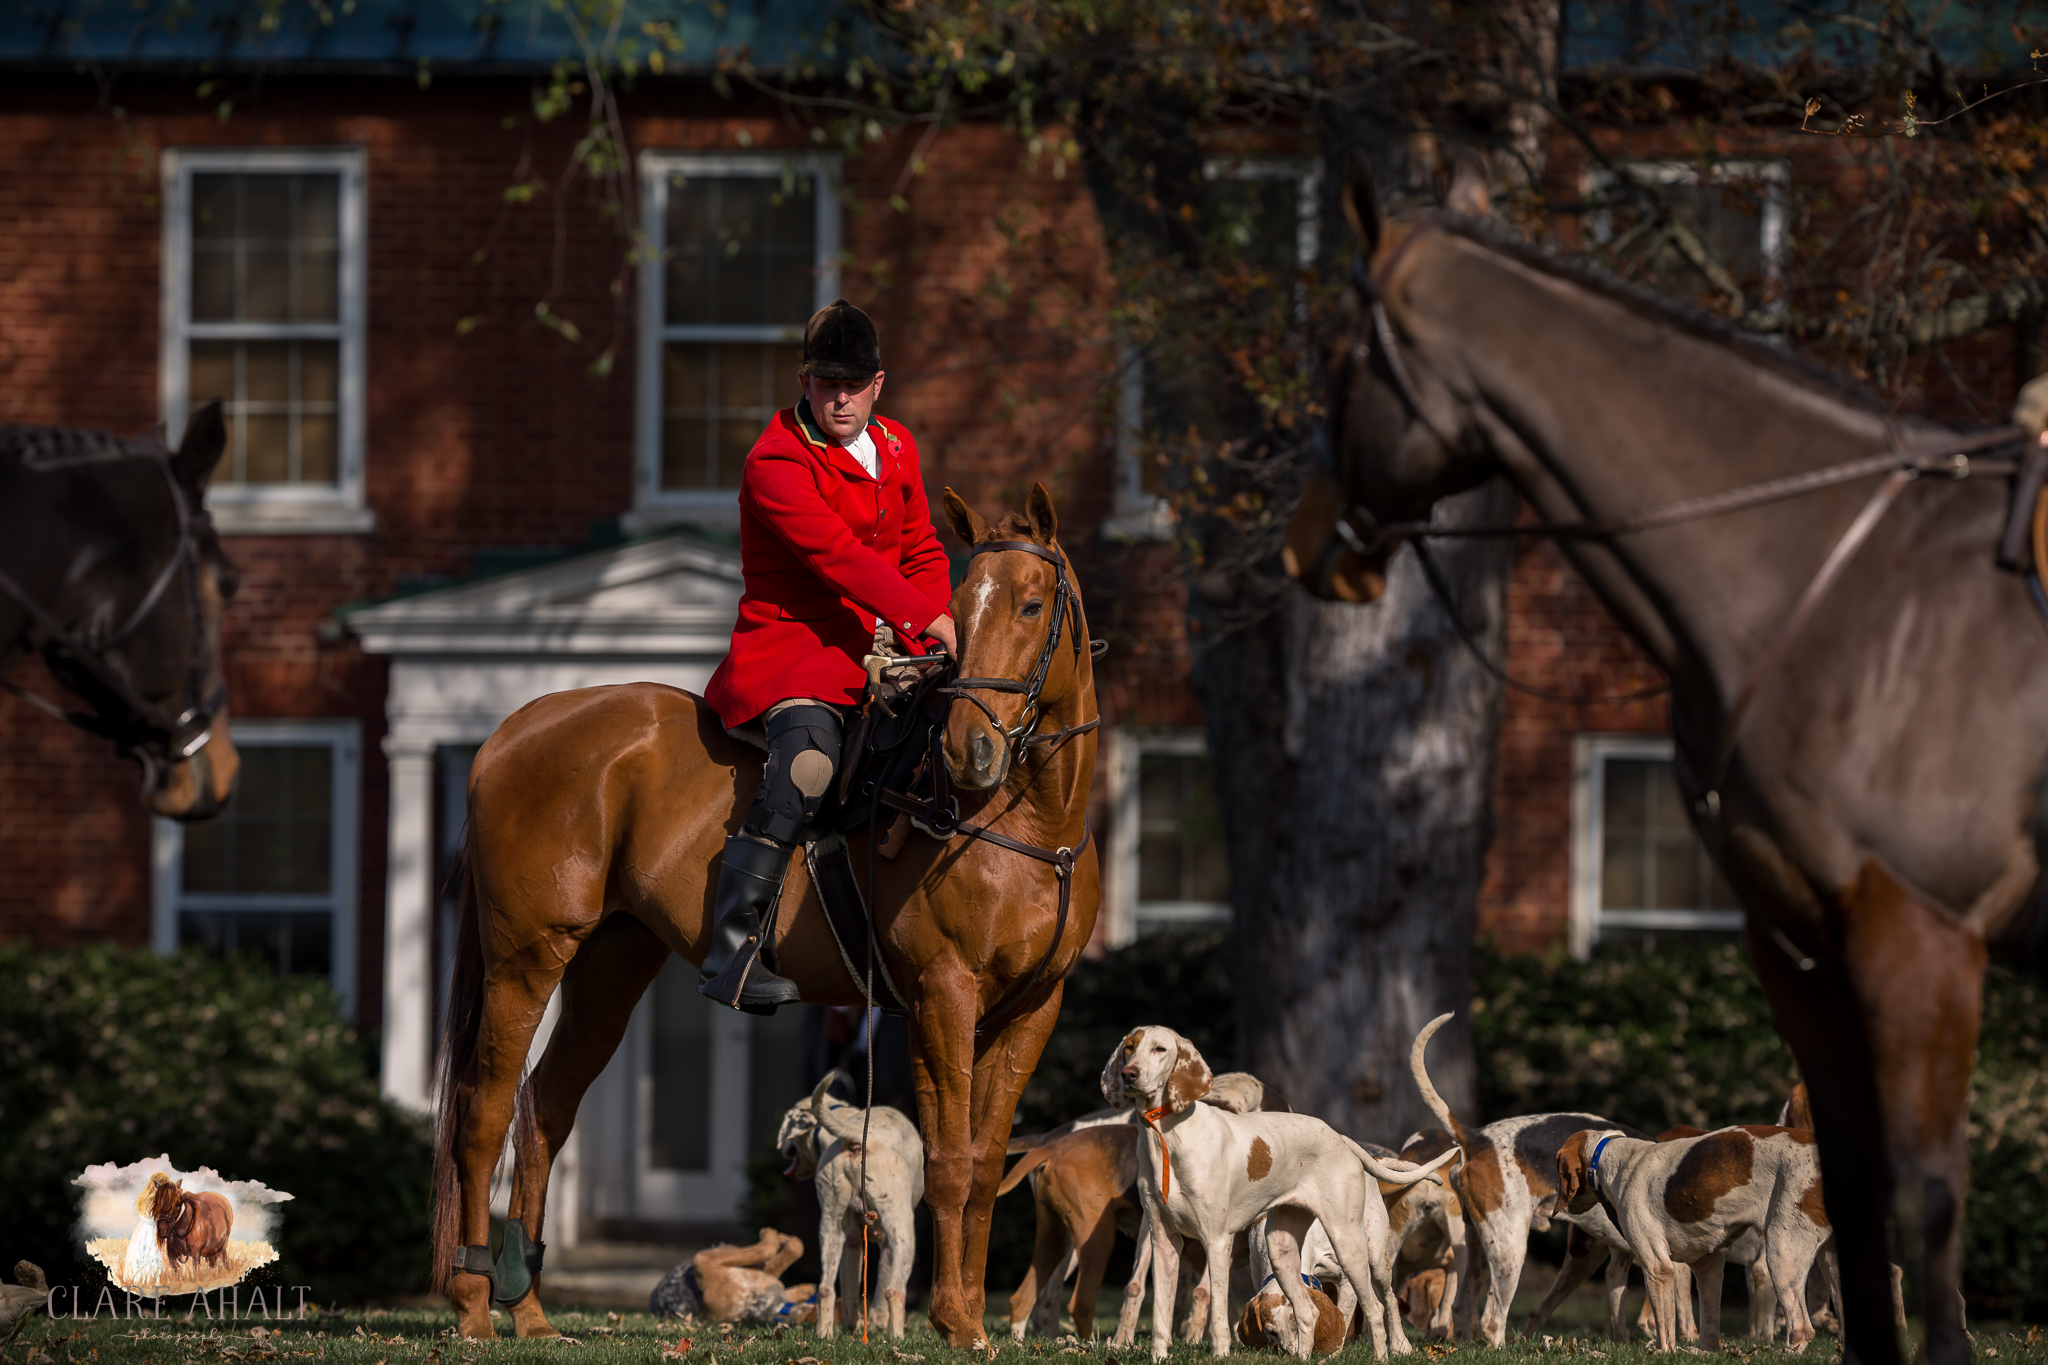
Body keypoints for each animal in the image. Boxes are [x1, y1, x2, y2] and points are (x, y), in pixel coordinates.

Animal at [434, 482, 1105, 1342]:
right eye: (959, 608)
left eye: (1029, 604)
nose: (966, 753)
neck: (1030, 819)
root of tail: (515, 726)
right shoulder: (943, 995)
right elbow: (953, 1158)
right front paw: (956, 1317)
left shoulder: (1030, 1008)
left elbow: (987, 1160)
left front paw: (968, 1318)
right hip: (527, 957)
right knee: (485, 1111)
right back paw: (474, 1302)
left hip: (610, 966)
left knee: (544, 1109)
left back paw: (531, 1309)